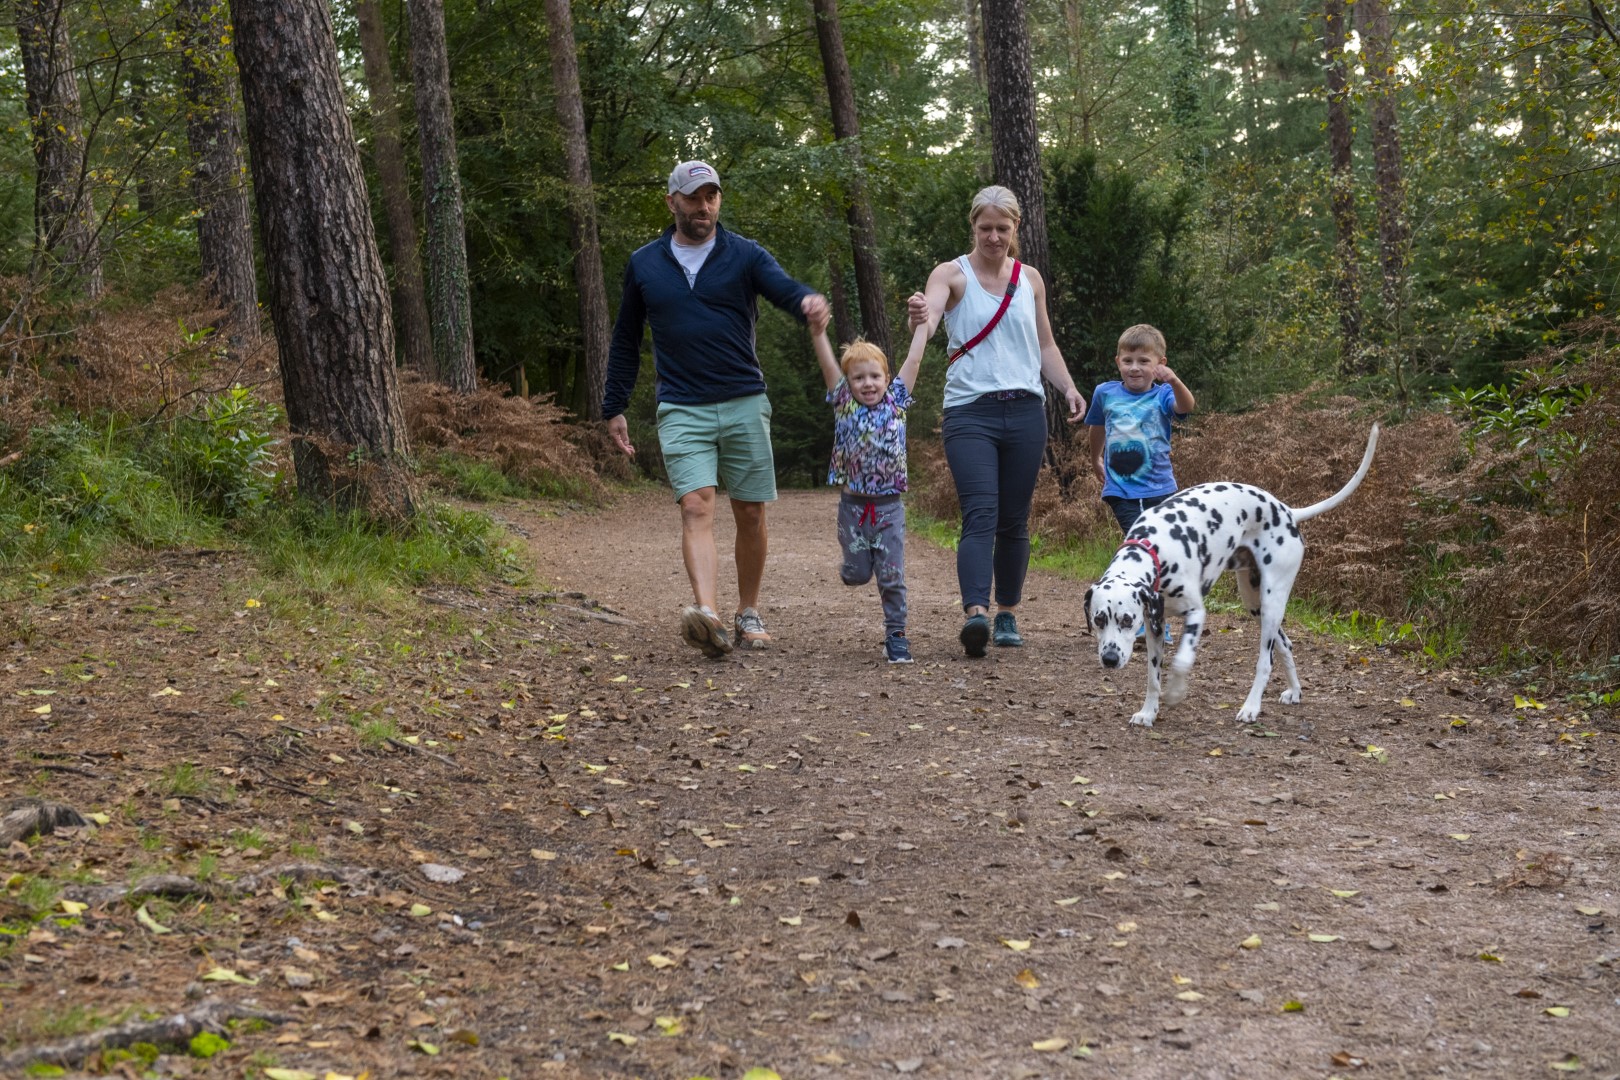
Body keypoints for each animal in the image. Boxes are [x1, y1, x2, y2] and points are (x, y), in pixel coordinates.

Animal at [1088, 427, 1380, 731]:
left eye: (1126, 620)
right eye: (1099, 619)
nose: (1109, 659)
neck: (1154, 549)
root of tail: (1287, 511)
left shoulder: (1196, 613)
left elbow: (1181, 661)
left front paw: (1176, 692)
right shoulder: (1154, 624)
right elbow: (1152, 675)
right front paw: (1148, 712)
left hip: (1272, 602)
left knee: (1266, 661)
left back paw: (1251, 707)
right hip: (1255, 604)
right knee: (1285, 645)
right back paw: (1295, 691)